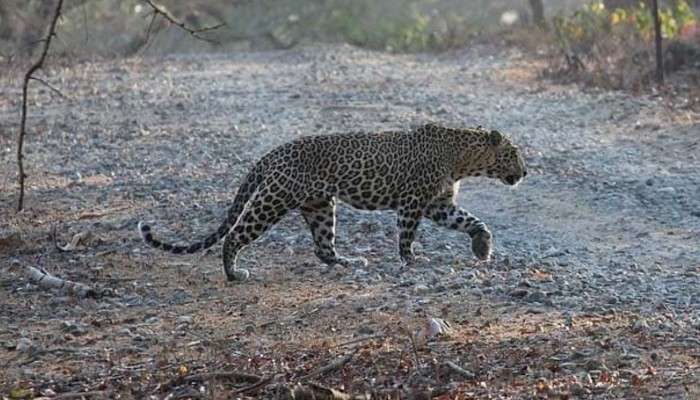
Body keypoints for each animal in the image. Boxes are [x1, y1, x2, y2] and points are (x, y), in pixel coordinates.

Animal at [139, 122, 528, 282]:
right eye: (513, 154)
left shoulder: (438, 204)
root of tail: (272, 153)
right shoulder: (413, 202)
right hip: (273, 200)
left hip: (320, 206)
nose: (525, 172)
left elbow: (471, 220)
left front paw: (482, 247)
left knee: (323, 247)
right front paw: (411, 260)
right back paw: (234, 274)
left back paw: (348, 262)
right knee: (235, 235)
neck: (463, 158)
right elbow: (406, 234)